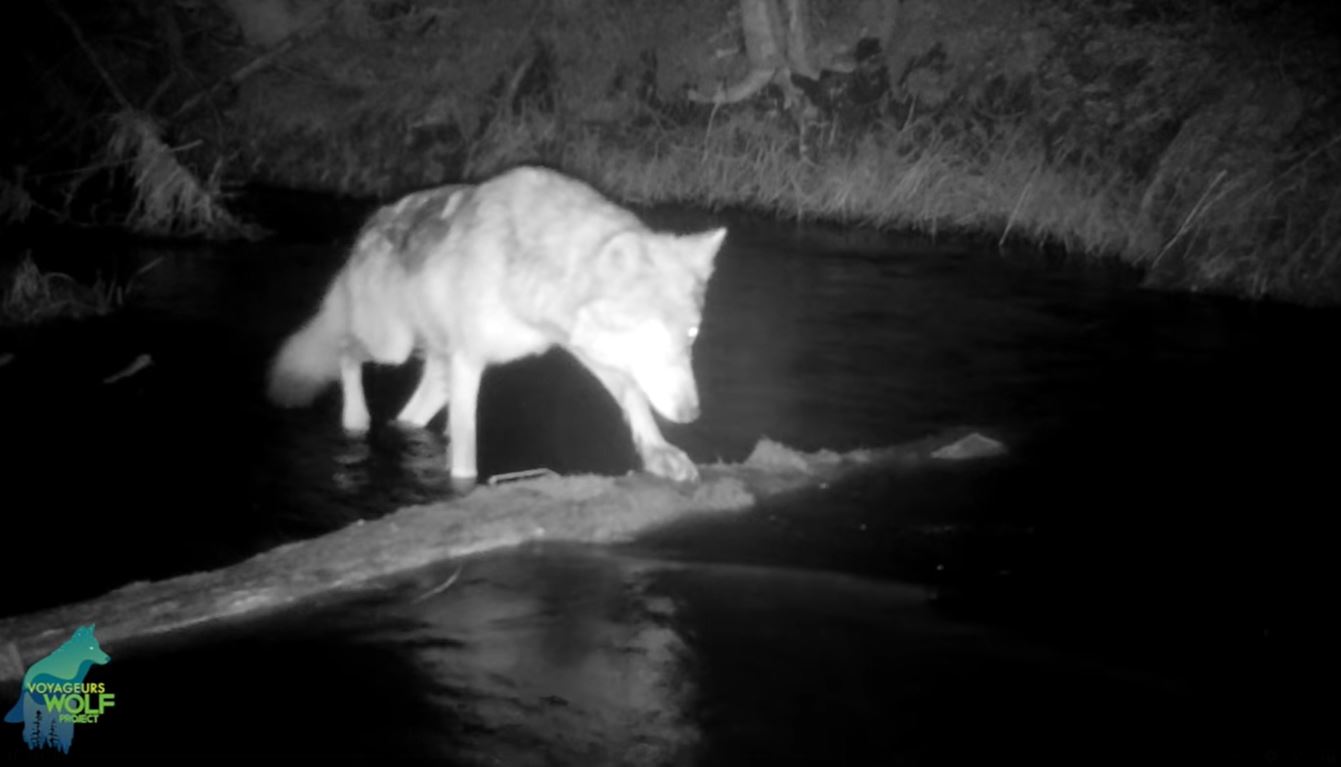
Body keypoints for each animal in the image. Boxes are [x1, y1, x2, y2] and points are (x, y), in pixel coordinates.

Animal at [262, 165, 724, 488]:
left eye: (691, 336)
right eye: (653, 336)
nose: (693, 413)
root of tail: (371, 224)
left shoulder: (585, 348)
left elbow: (634, 399)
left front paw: (661, 454)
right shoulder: (470, 361)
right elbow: (466, 449)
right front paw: (462, 490)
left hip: (435, 368)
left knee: (408, 414)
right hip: (392, 346)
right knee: (345, 349)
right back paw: (355, 419)